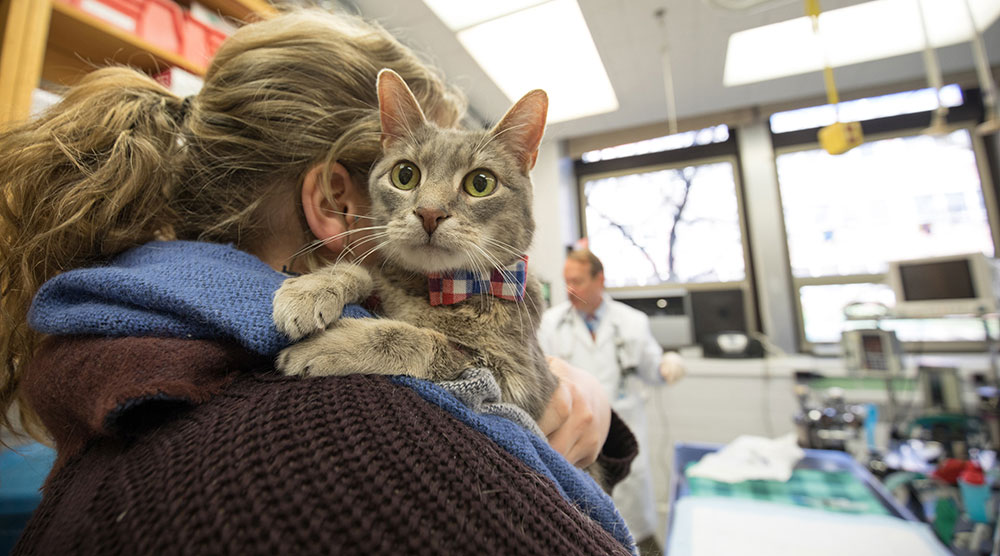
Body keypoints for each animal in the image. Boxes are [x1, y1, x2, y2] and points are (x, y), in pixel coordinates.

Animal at [270, 67, 560, 420]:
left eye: (480, 183)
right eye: (405, 174)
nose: (429, 213)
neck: (434, 289)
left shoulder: (515, 378)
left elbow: (417, 338)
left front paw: (332, 345)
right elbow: (363, 272)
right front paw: (310, 289)